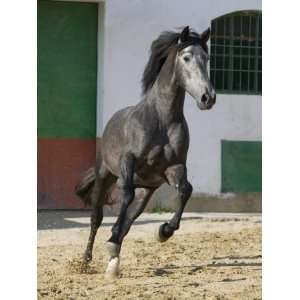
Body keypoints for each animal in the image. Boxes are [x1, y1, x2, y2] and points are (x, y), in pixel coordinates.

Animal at [75, 25, 216, 276]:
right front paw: (111, 243)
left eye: (206, 58)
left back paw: (114, 260)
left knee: (129, 220)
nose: (208, 97)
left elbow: (185, 190)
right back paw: (87, 260)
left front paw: (164, 231)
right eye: (186, 57)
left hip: (147, 191)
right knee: (96, 217)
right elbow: (125, 194)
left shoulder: (174, 167)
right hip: (105, 175)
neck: (161, 120)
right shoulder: (128, 163)